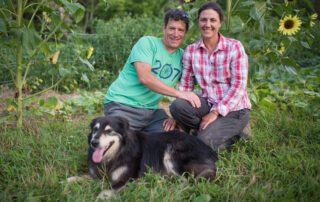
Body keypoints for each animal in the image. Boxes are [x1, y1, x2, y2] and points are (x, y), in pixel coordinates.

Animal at [87, 116, 218, 198]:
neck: (118, 153)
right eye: (95, 129)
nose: (93, 142)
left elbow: (104, 191)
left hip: (171, 151)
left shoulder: (128, 178)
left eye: (109, 131)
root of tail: (212, 152)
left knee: (186, 181)